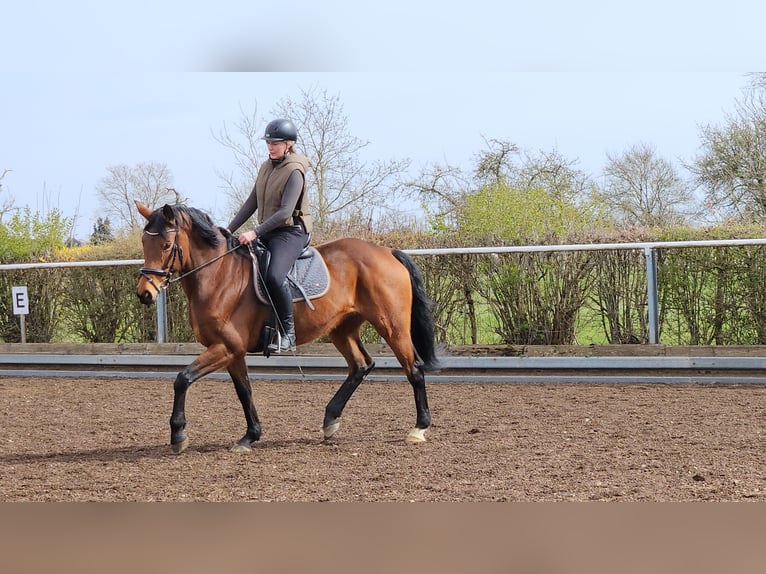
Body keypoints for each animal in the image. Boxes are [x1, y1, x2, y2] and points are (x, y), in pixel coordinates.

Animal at [135, 202, 439, 454]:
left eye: (165, 245)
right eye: (144, 243)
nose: (144, 294)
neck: (219, 276)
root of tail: (387, 251)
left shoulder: (226, 347)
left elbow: (182, 378)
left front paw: (178, 436)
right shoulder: (233, 351)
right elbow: (244, 391)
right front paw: (250, 436)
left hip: (392, 327)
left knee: (413, 369)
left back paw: (419, 428)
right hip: (341, 329)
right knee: (361, 365)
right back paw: (330, 420)